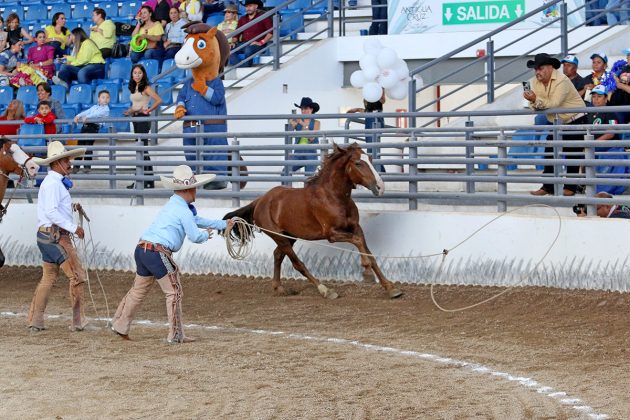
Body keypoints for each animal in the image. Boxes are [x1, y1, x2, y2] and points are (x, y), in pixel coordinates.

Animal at [227, 144, 404, 298]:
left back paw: (279, 288)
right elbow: (358, 243)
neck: (334, 197)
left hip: (290, 236)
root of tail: (260, 201)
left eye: (371, 159)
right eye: (358, 163)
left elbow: (368, 252)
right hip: (280, 237)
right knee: (297, 263)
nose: (380, 187)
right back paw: (325, 290)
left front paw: (391, 288)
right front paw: (367, 272)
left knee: (278, 255)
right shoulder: (332, 234)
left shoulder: (356, 227)